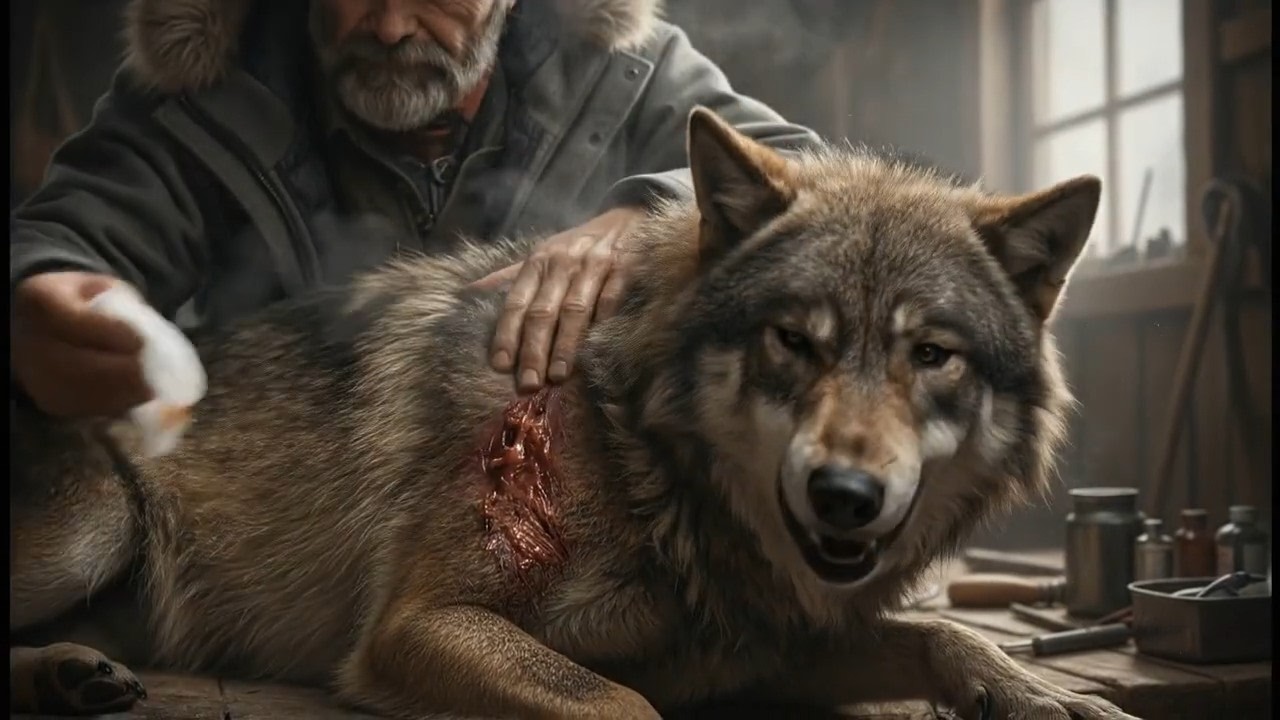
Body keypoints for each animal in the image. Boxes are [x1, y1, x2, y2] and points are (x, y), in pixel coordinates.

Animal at [10, 107, 1135, 720]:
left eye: (930, 356)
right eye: (792, 340)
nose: (846, 495)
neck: (634, 449)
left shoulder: (766, 646)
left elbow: (941, 632)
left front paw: (1042, 693)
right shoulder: (424, 624)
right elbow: (617, 699)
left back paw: (73, 672)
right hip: (98, 524)